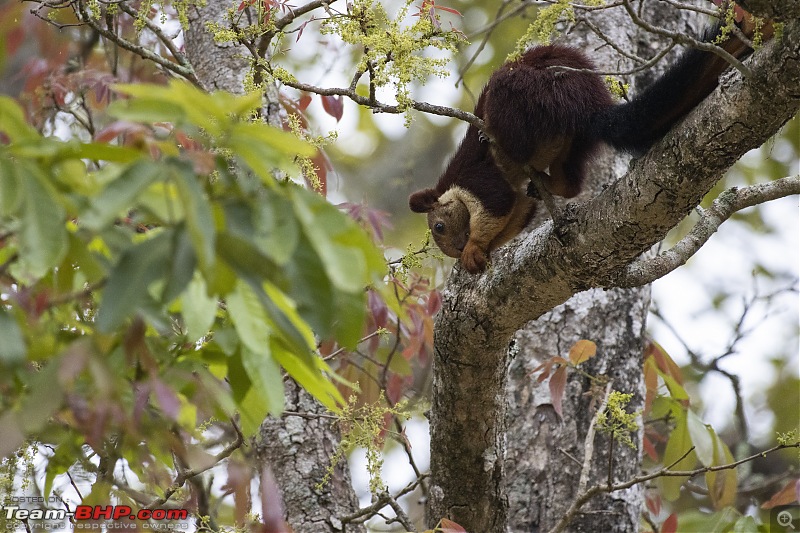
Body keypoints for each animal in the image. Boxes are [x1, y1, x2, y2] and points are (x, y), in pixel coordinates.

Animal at [410, 10, 772, 272]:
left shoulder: (479, 179)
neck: (453, 188)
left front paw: (473, 249)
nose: (456, 249)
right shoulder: (516, 199)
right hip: (574, 144)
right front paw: (481, 251)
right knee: (571, 183)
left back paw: (498, 138)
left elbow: (496, 204)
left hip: (522, 96)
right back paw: (548, 182)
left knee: (517, 139)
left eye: (438, 227)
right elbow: (518, 210)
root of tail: (589, 107)